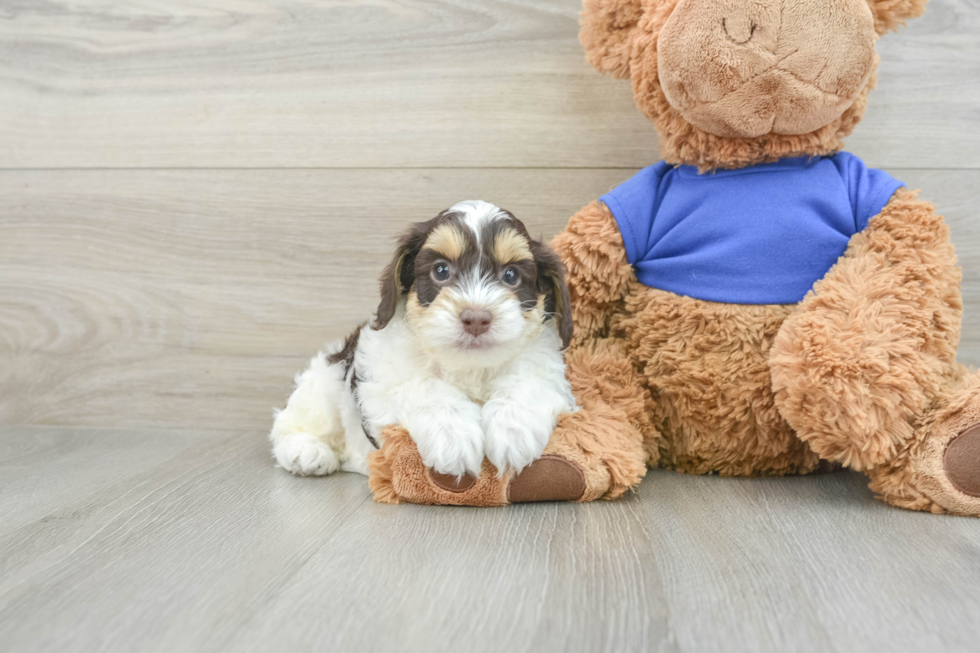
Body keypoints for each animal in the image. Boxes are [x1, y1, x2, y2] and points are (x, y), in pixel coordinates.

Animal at [270, 200, 576, 478]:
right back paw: (306, 451)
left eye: (511, 275)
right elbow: (423, 387)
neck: (468, 367)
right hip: (327, 379)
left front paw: (513, 429)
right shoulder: (381, 384)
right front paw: (454, 436)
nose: (476, 318)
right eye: (441, 271)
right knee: (292, 421)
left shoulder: (546, 370)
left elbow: (528, 382)